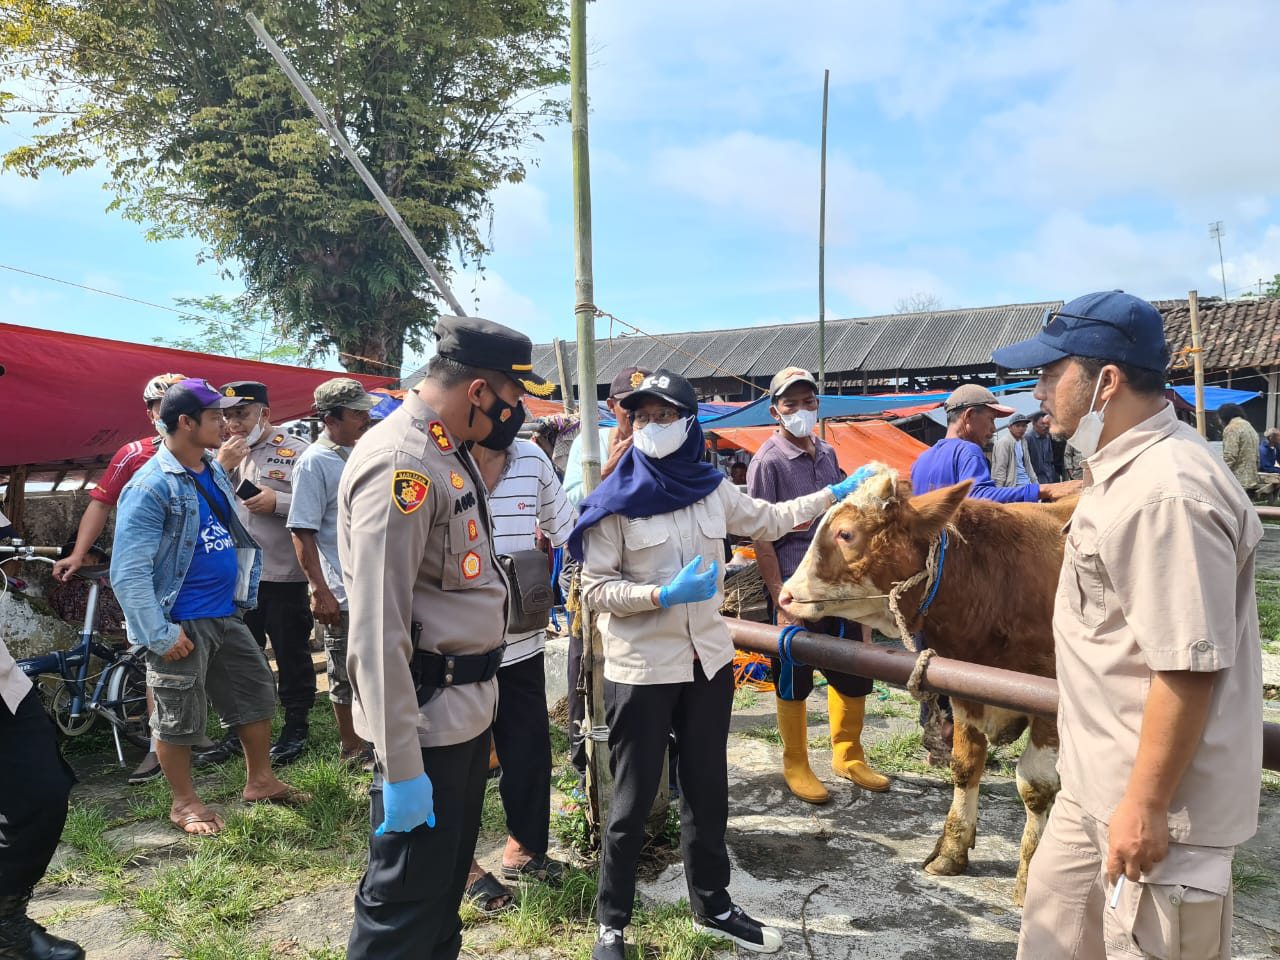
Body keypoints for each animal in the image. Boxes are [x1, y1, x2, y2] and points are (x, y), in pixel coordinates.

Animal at [778, 471, 1070, 906]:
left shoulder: (1051, 704)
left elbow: (1036, 785)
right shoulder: (968, 692)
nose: (784, 595)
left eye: (846, 533)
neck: (996, 582)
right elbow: (964, 766)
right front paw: (951, 850)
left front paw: (1032, 879)